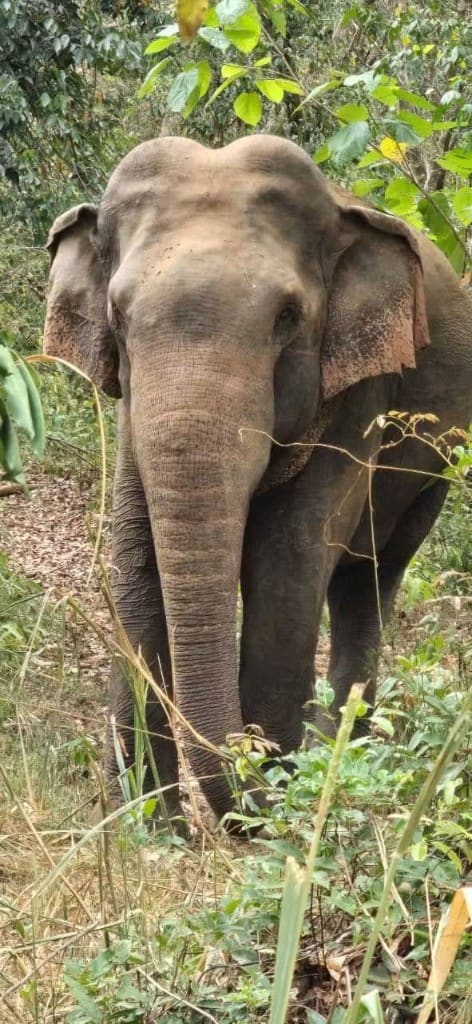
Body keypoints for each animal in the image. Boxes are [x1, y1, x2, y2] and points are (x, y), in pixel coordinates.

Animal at [43, 134, 472, 828]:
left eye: (288, 318)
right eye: (117, 316)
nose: (253, 787)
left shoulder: (361, 393)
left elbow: (287, 557)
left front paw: (275, 810)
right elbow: (135, 551)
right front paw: (145, 827)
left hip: (439, 462)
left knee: (371, 574)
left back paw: (340, 753)